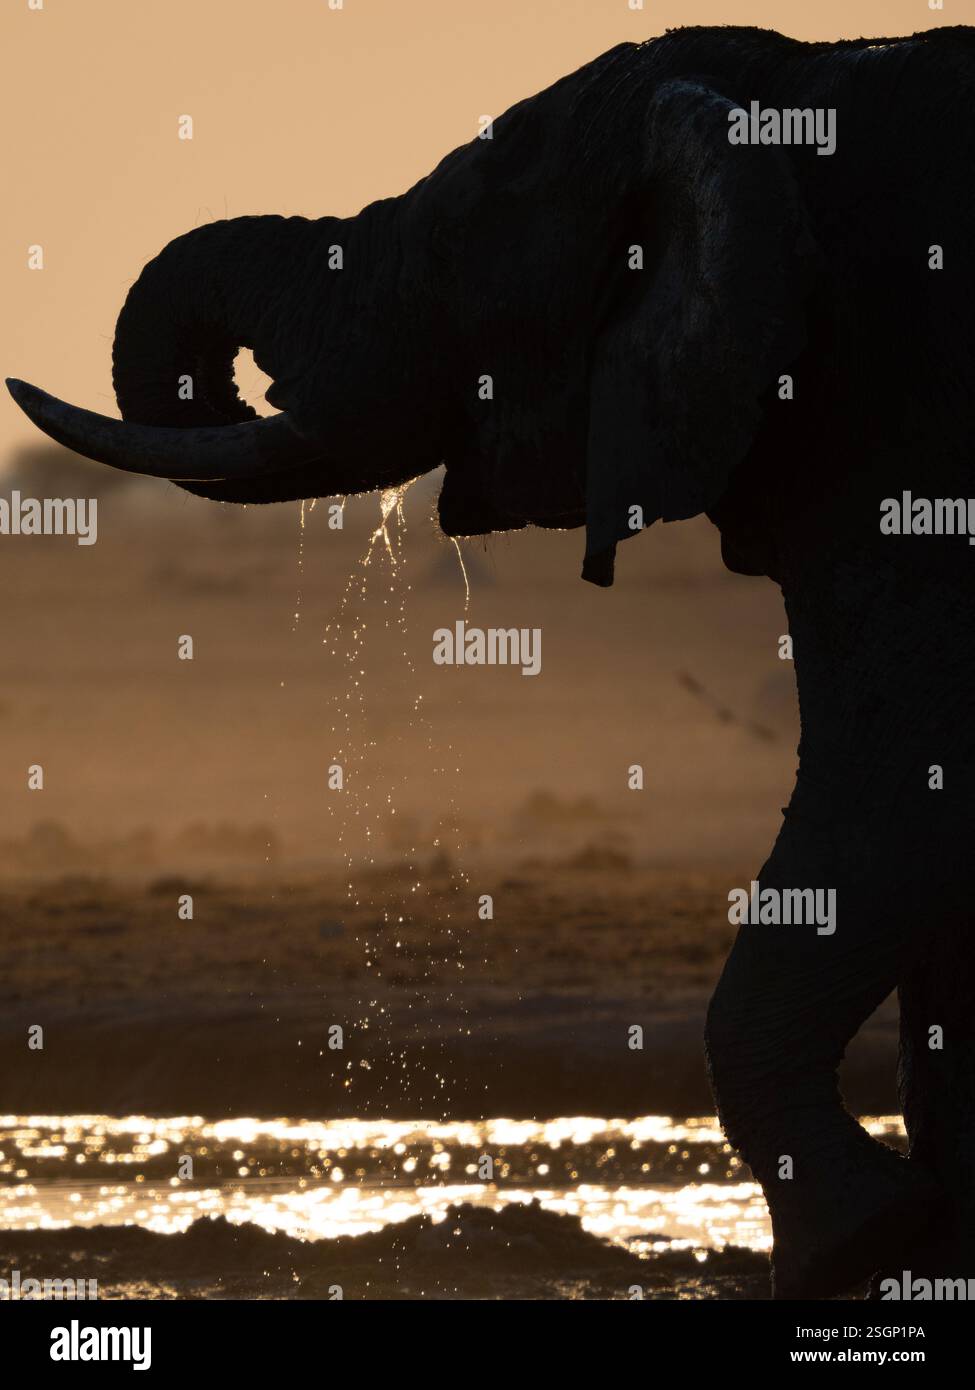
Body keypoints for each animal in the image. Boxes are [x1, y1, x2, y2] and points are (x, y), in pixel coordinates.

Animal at [8, 23, 975, 1299]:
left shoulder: (907, 437)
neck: (788, 82)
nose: (242, 381)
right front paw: (916, 1244)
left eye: (451, 237)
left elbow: (903, 778)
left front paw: (858, 1241)